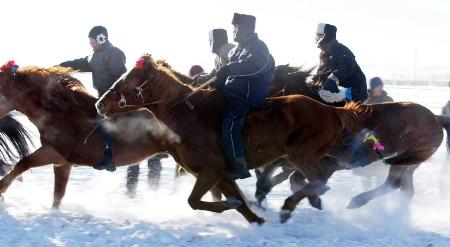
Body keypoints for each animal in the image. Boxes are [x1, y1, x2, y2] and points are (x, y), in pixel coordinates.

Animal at [0, 65, 181, 208]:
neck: (60, 113)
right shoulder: (62, 163)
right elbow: (58, 194)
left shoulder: (54, 152)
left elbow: (24, 162)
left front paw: (2, 187)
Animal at [96, 54, 368, 224]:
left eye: (128, 79)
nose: (100, 104)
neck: (186, 114)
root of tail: (331, 110)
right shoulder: (220, 175)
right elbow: (239, 204)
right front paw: (255, 217)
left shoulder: (212, 171)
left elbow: (195, 201)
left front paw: (233, 206)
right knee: (314, 182)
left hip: (302, 155)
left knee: (318, 180)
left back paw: (290, 206)